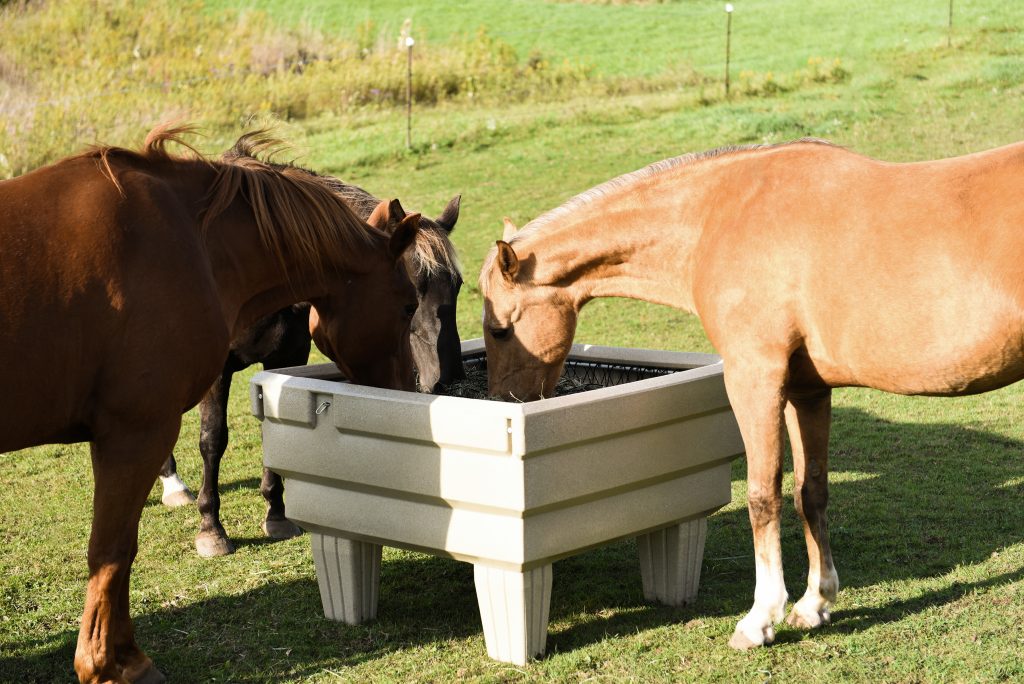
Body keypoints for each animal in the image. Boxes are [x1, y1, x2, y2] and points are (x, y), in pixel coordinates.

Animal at [0, 126, 419, 684]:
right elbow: (113, 551)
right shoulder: (136, 432)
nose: (407, 390)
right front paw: (113, 663)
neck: (189, 242)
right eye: (410, 305)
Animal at [155, 139, 464, 557]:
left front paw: (277, 513)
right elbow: (212, 439)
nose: (448, 378)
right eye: (412, 294)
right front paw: (211, 528)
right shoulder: (218, 372)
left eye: (458, 285)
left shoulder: (287, 357)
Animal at [477, 139, 1024, 651]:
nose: (507, 400)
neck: (717, 216)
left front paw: (760, 619)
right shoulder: (808, 390)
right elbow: (810, 492)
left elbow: (763, 496)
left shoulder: (753, 378)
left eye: (500, 329)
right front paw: (814, 603)